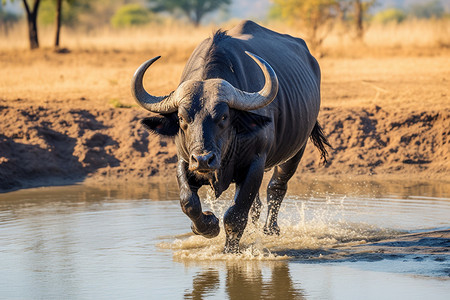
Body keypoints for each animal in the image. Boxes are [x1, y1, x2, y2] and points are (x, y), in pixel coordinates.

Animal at [132, 20, 328, 253]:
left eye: (224, 117)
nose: (203, 159)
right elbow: (188, 201)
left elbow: (235, 214)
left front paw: (230, 250)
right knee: (257, 204)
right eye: (181, 118)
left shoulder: (255, 164)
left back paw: (271, 230)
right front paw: (207, 225)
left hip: (296, 150)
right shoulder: (184, 161)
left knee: (276, 187)